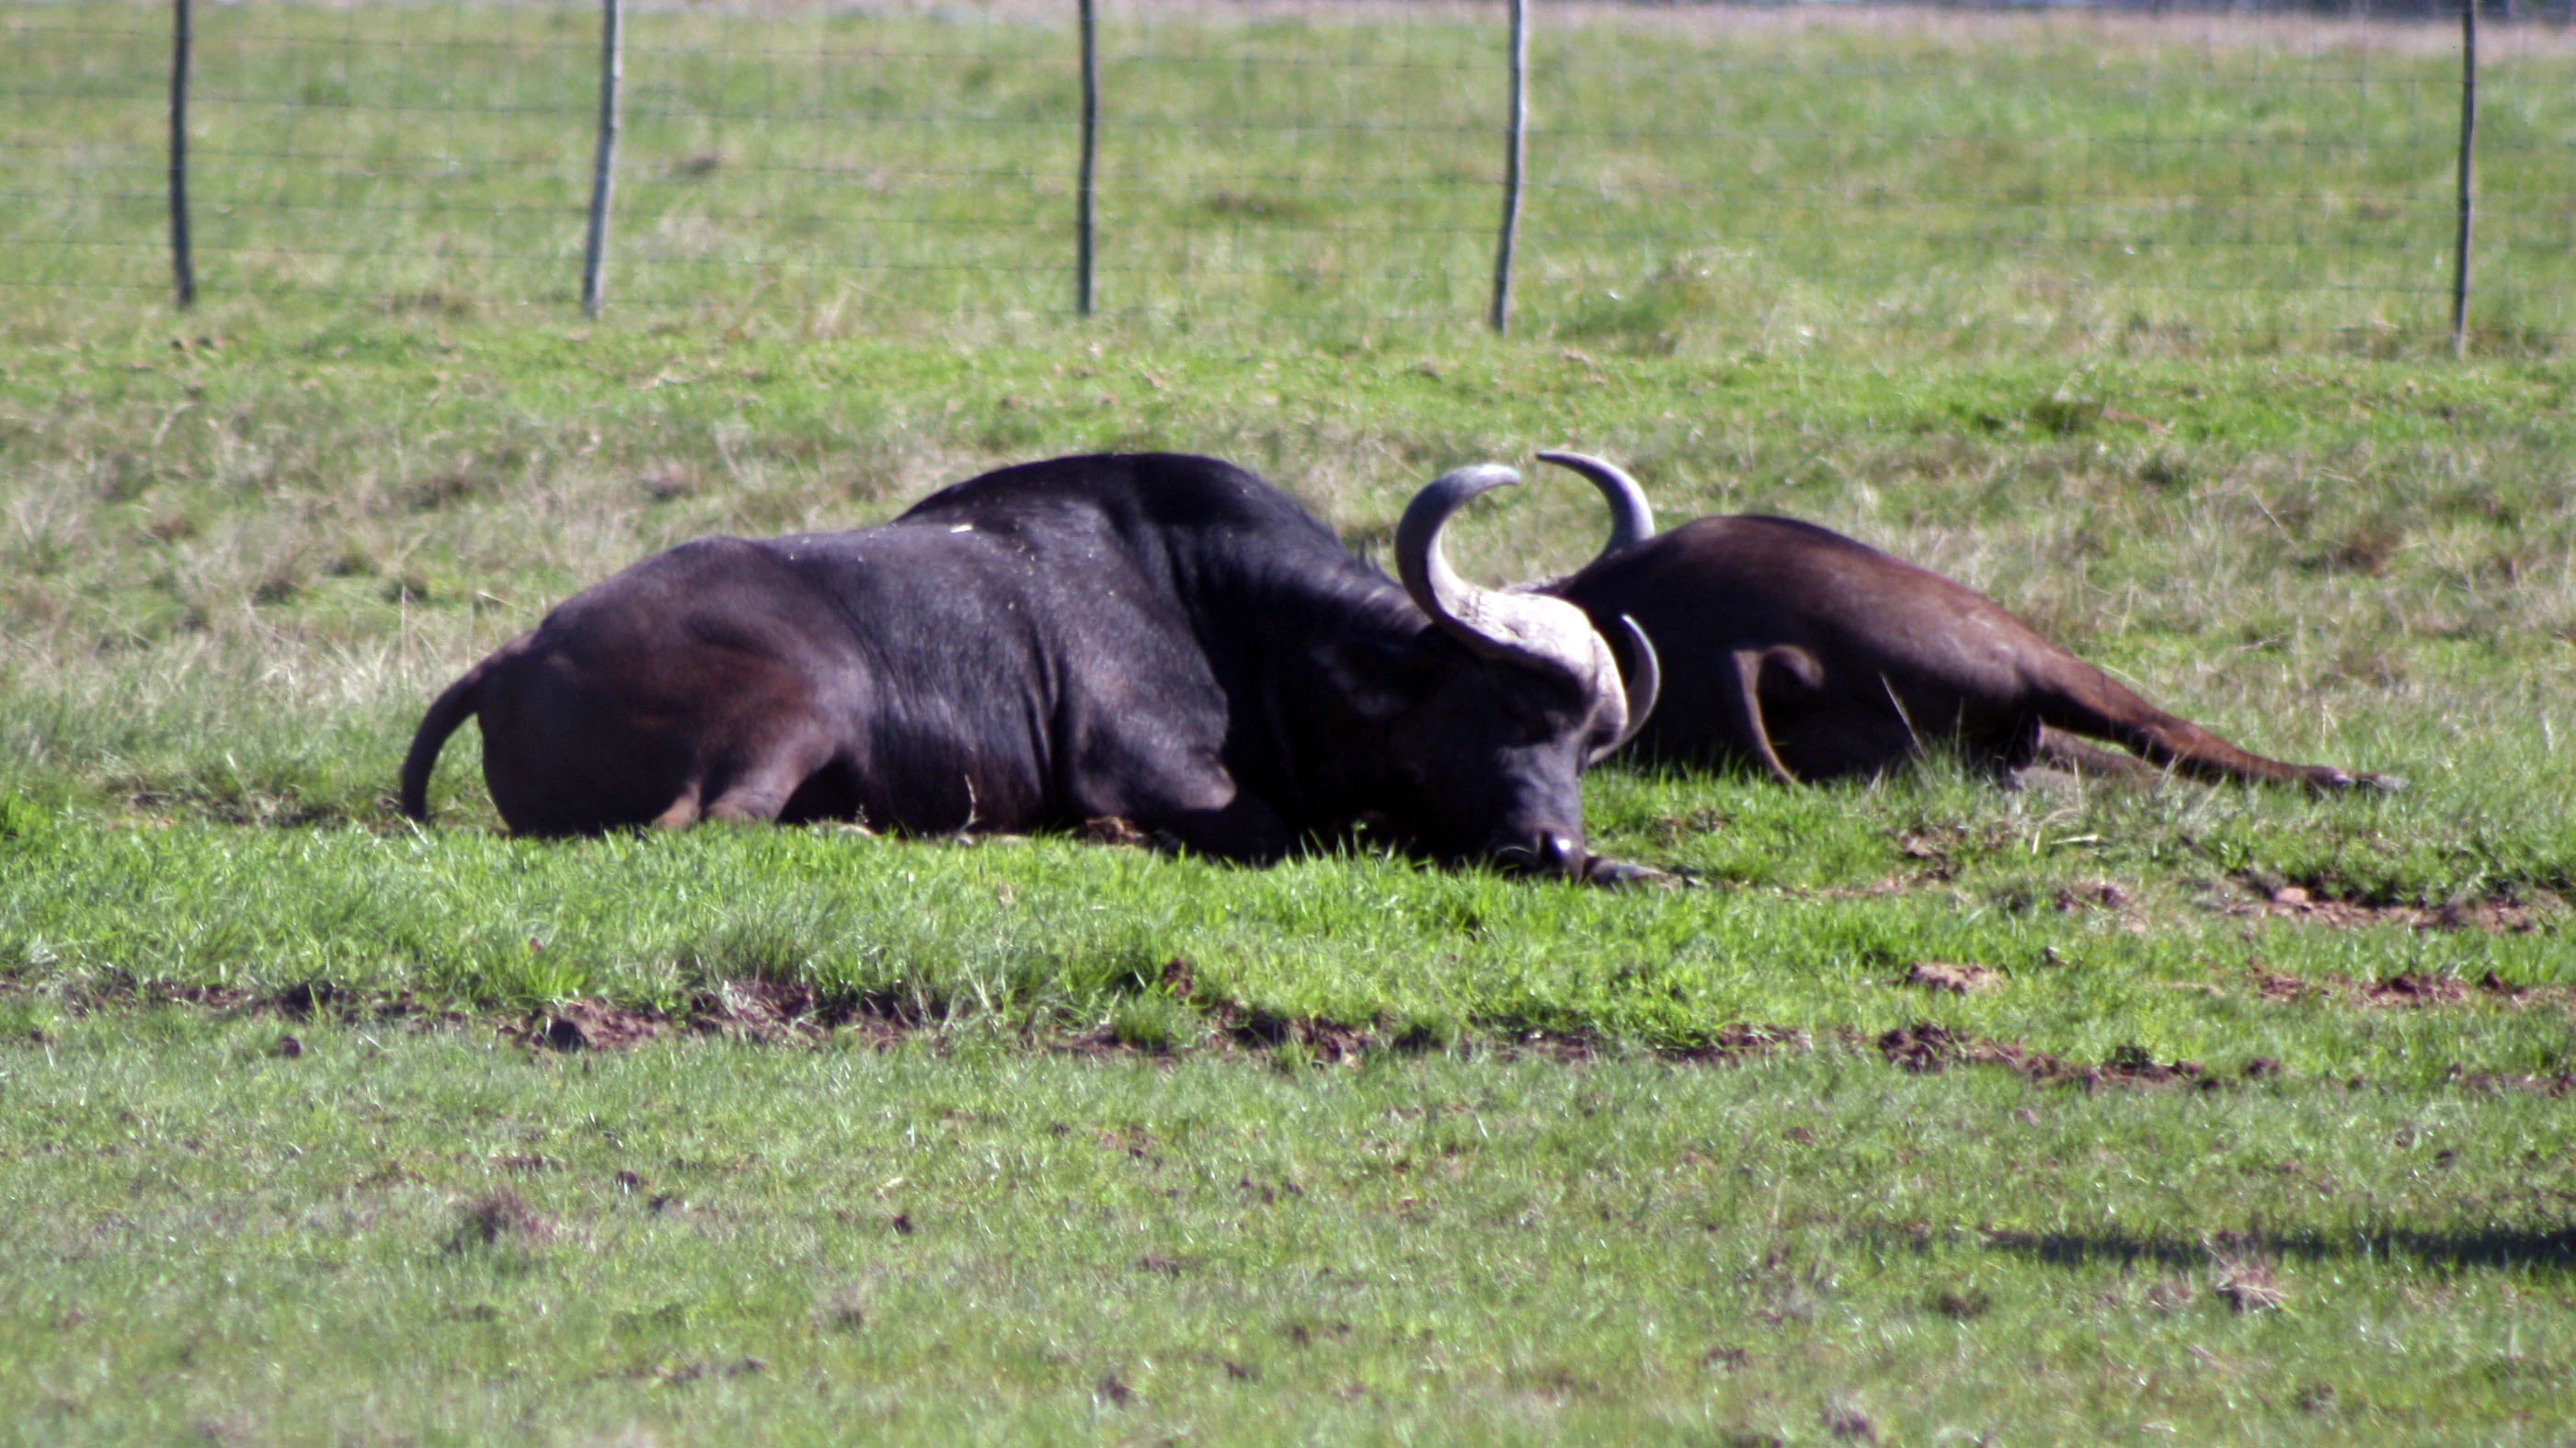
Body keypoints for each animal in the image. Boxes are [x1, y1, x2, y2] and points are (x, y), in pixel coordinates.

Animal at [401, 451, 1662, 880]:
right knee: (709, 825)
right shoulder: (1154, 778)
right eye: (1501, 706)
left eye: (1585, 747)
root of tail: (517, 655)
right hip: (801, 704)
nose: (1552, 843)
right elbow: (1270, 829)